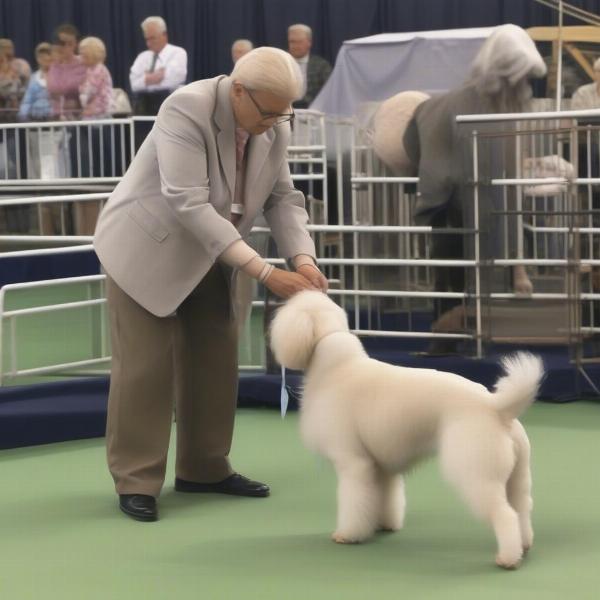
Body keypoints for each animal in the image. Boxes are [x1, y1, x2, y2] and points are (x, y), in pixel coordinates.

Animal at [270, 292, 544, 568]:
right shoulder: (380, 468)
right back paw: (524, 545)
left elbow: (353, 501)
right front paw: (384, 525)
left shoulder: (353, 463)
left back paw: (507, 559)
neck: (336, 368)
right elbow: (385, 498)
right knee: (522, 509)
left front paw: (348, 535)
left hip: (477, 473)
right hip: (516, 477)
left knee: (505, 515)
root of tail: (497, 408)